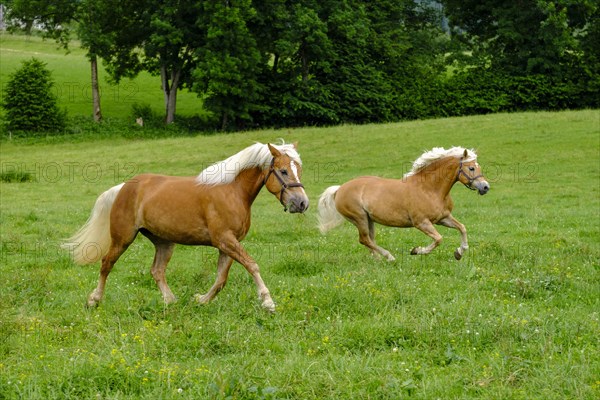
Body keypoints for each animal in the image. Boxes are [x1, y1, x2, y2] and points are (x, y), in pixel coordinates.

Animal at [62, 142, 310, 310]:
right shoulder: (225, 240)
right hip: (123, 238)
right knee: (106, 264)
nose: (302, 203)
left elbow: (221, 279)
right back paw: (94, 300)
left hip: (163, 242)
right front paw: (268, 301)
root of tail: (123, 187)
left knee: (157, 270)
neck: (232, 191)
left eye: (299, 169)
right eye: (284, 171)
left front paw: (200, 300)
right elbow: (252, 265)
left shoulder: (228, 244)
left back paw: (170, 301)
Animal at [316, 148, 490, 260]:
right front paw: (416, 251)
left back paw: (377, 259)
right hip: (359, 218)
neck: (429, 188)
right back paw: (389, 257)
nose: (485, 187)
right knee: (364, 239)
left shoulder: (443, 218)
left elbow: (462, 228)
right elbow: (439, 239)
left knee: (369, 240)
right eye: (472, 168)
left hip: (368, 219)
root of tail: (340, 189)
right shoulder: (421, 223)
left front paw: (459, 252)